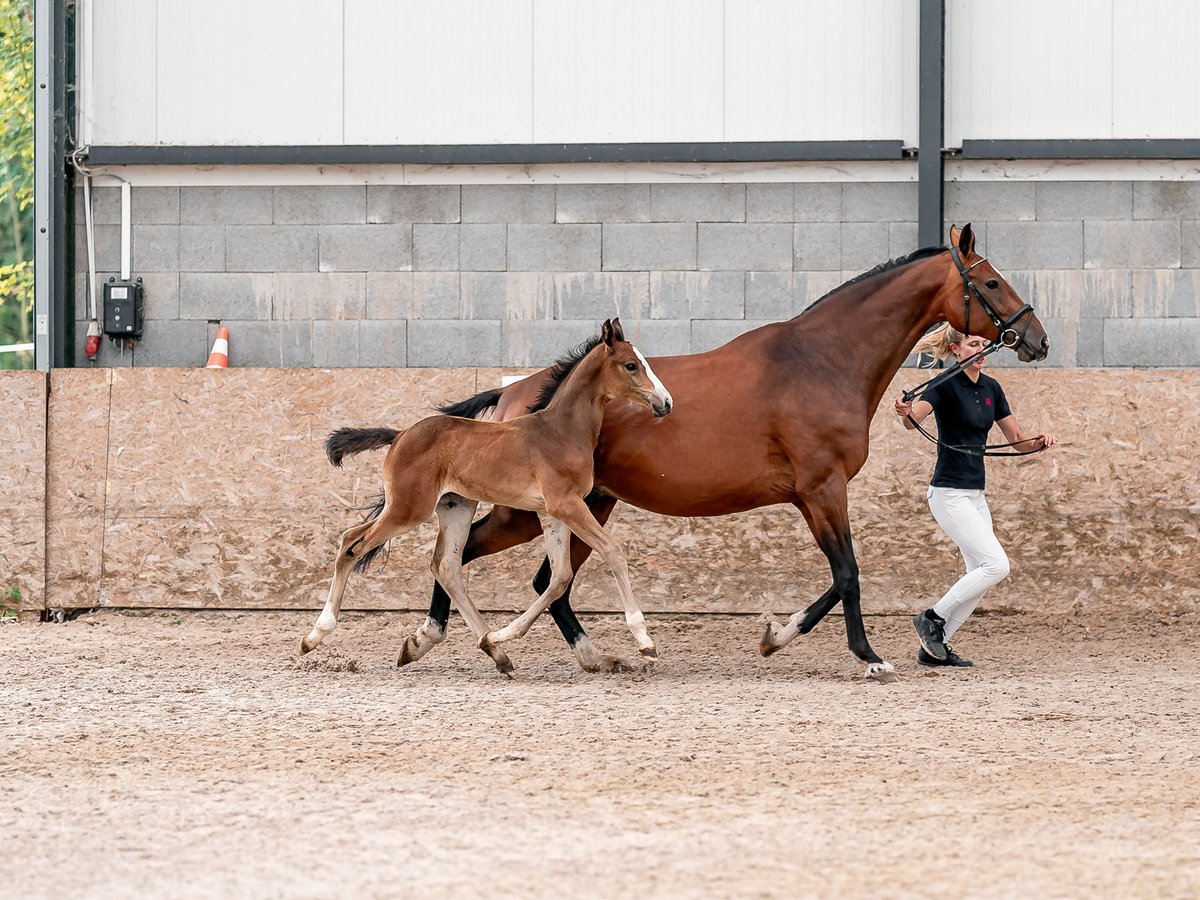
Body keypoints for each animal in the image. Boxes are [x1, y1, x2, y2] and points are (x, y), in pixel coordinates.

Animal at [300, 318, 674, 674]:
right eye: (631, 365)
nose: (666, 403)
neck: (561, 431)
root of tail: (400, 434)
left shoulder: (552, 513)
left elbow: (559, 578)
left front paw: (501, 634)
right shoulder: (566, 504)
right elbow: (612, 552)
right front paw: (645, 641)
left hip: (454, 507)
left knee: (445, 565)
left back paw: (495, 650)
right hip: (408, 509)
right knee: (352, 543)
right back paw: (313, 636)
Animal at [400, 223, 1049, 678]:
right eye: (992, 282)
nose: (1036, 338)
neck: (821, 362)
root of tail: (517, 393)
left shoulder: (814, 496)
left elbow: (837, 578)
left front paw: (776, 636)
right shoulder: (823, 490)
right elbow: (848, 575)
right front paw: (864, 655)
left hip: (589, 504)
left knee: (542, 579)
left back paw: (590, 657)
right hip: (530, 509)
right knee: (464, 555)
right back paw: (440, 640)